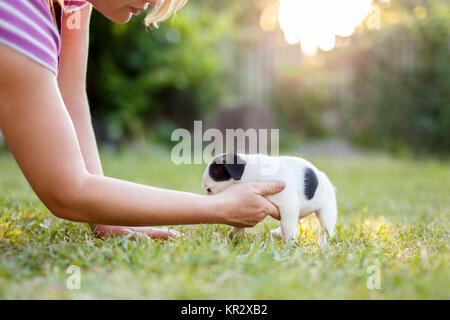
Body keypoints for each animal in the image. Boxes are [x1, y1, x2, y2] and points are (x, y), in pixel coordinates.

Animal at [201, 152, 338, 245]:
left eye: (209, 189)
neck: (249, 172)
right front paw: (236, 234)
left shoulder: (288, 205)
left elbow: (286, 224)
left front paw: (289, 243)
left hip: (326, 208)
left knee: (326, 228)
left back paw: (323, 243)